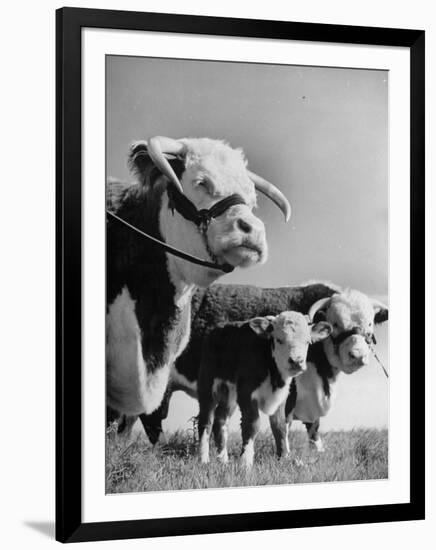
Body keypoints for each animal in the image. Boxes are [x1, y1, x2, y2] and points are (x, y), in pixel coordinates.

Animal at [198, 314, 330, 470]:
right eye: (279, 339)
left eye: (307, 341)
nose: (296, 361)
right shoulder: (247, 394)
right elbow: (252, 424)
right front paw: (246, 461)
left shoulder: (281, 397)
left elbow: (280, 426)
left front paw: (284, 457)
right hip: (207, 386)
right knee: (206, 420)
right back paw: (203, 459)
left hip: (230, 393)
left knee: (220, 419)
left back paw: (223, 459)